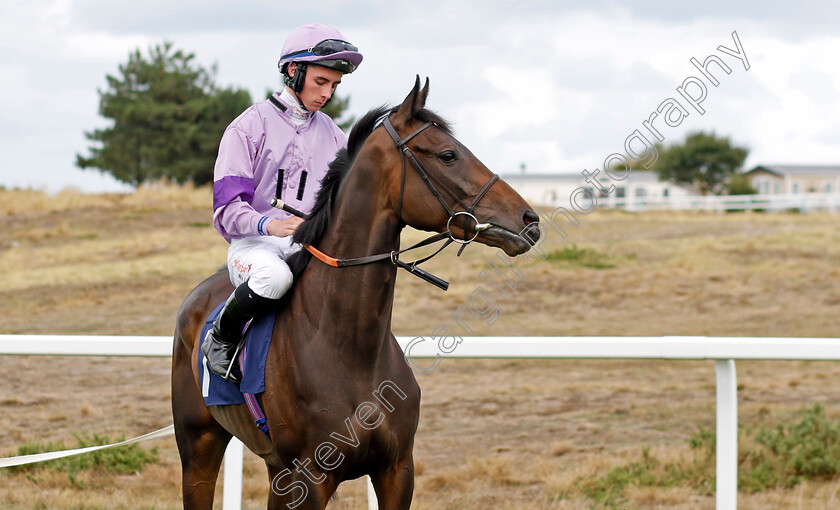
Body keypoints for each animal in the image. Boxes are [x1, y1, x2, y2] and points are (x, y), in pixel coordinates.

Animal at [172, 76, 540, 510]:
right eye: (448, 155)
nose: (530, 219)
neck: (347, 345)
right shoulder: (309, 477)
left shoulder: (396, 471)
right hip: (199, 446)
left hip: (274, 468)